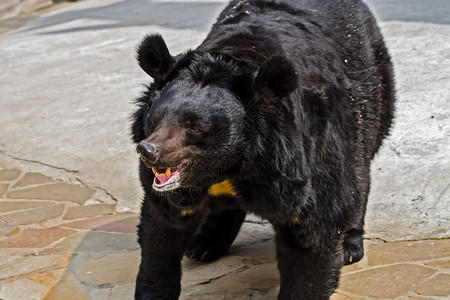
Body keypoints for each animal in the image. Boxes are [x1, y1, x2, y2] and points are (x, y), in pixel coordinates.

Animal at [130, 0, 394, 298]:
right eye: (156, 118)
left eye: (194, 127)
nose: (149, 151)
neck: (236, 162)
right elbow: (162, 233)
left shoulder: (304, 153)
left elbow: (312, 231)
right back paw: (204, 244)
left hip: (371, 96)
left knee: (358, 175)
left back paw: (350, 246)